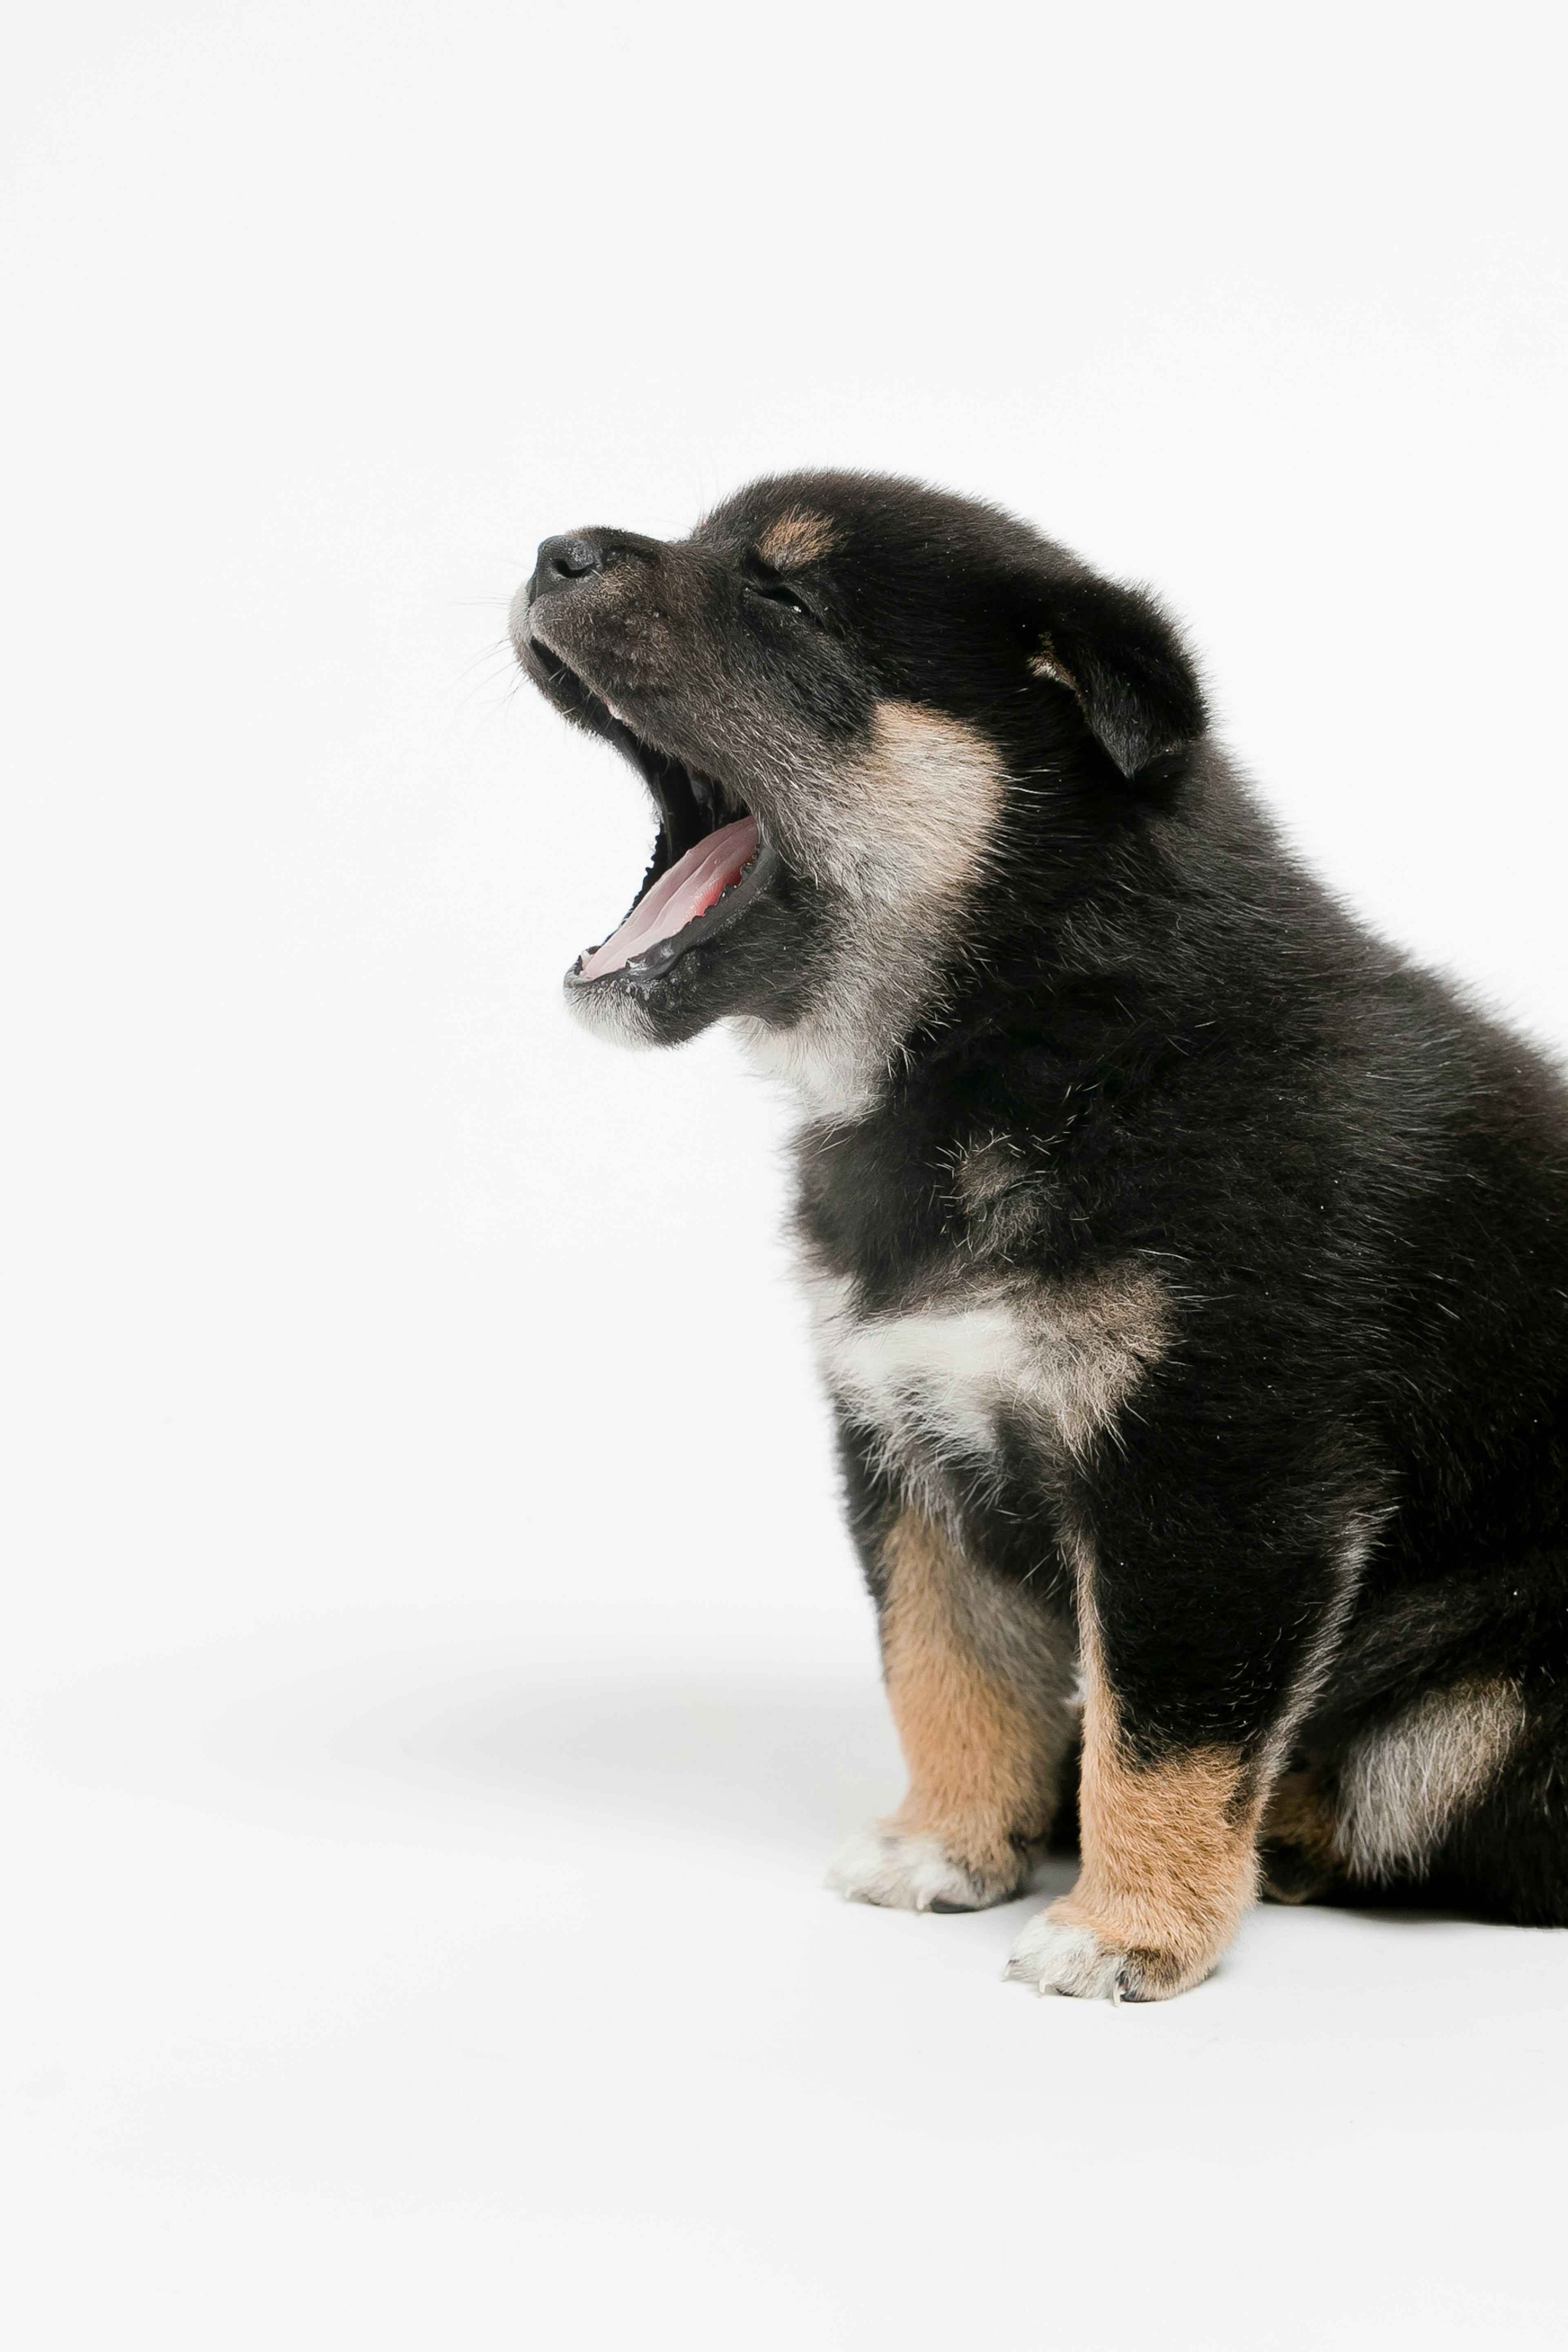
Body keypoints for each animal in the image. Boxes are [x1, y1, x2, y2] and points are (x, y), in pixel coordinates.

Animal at [512, 477, 1568, 2004]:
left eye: (786, 598)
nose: (554, 553)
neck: (1047, 1044)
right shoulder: (906, 1437)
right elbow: (943, 1667)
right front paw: (947, 1845)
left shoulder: (1219, 1477)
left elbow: (1166, 1731)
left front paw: (1131, 1927)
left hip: (1492, 1701)